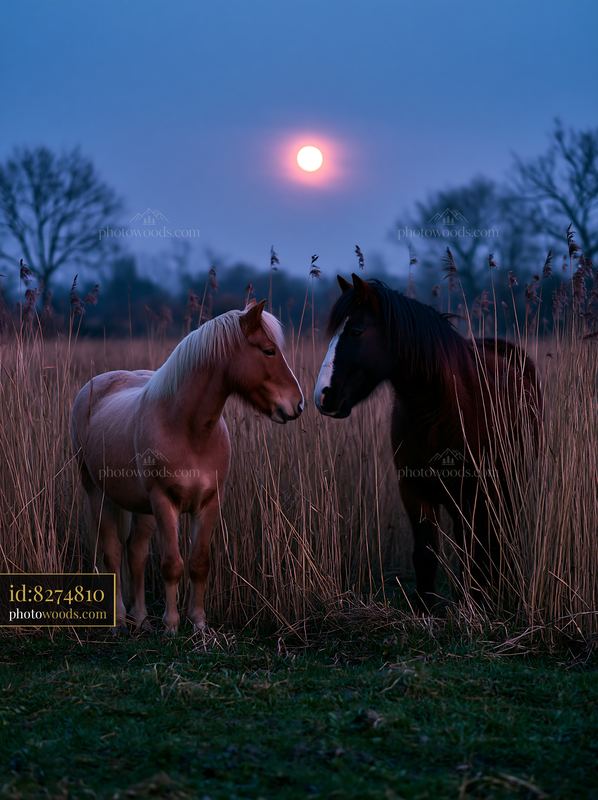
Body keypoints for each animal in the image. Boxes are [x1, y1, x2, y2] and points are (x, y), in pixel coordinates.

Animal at [71, 300, 304, 633]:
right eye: (269, 350)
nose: (297, 404)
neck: (189, 430)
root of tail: (94, 386)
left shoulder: (209, 502)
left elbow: (198, 563)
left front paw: (199, 623)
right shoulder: (163, 501)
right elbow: (172, 564)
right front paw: (171, 625)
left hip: (141, 508)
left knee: (136, 554)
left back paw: (141, 618)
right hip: (98, 494)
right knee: (112, 553)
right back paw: (118, 620)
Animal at [314, 273, 541, 610]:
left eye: (356, 331)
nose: (323, 396)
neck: (440, 410)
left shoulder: (475, 493)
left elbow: (476, 550)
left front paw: (476, 602)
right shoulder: (413, 489)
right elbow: (425, 552)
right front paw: (426, 606)